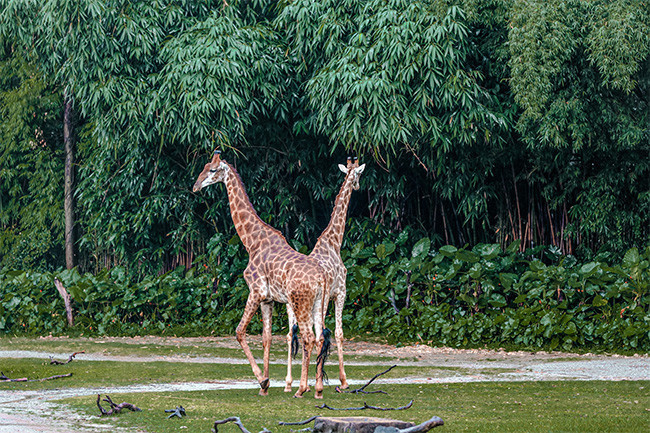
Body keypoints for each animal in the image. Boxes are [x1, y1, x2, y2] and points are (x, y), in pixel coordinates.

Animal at [190, 150, 326, 396]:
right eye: (203, 167)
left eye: (212, 170)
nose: (196, 186)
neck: (251, 241)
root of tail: (321, 278)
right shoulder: (267, 299)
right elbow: (266, 338)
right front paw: (266, 384)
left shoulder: (255, 291)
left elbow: (239, 331)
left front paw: (262, 380)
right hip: (318, 302)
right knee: (320, 337)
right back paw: (318, 389)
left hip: (300, 301)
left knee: (309, 337)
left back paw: (301, 389)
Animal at [284, 156, 364, 392]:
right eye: (358, 174)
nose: (358, 186)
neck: (333, 241)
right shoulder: (340, 293)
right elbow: (338, 333)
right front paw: (343, 380)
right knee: (314, 334)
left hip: (291, 304)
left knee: (291, 333)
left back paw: (290, 383)